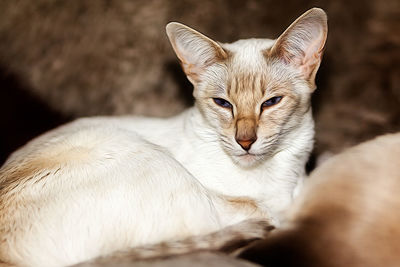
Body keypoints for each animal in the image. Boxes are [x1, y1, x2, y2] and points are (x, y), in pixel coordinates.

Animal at [0, 8, 328, 267]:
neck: (277, 176)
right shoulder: (247, 207)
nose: (244, 142)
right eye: (223, 104)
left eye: (271, 102)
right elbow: (267, 213)